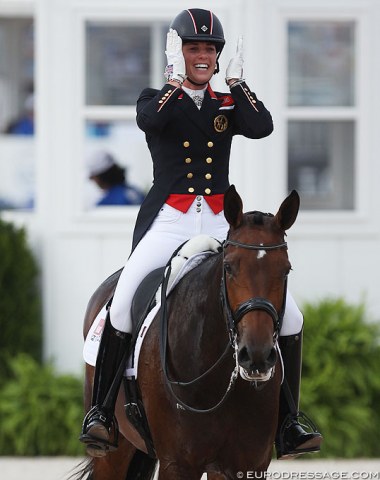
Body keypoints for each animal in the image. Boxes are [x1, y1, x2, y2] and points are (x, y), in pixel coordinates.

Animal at [72, 187, 300, 480]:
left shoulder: (248, 466)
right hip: (114, 449)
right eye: (229, 267)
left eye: (286, 269)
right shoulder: (177, 464)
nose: (256, 356)